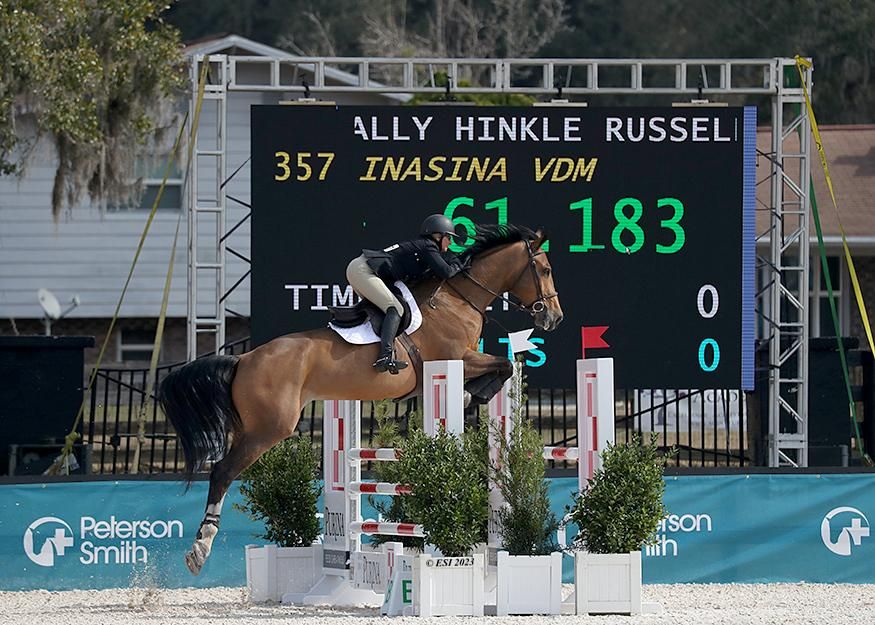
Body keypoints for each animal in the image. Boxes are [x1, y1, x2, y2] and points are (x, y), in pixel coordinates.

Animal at [160, 222, 564, 572]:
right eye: (544, 269)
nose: (554, 318)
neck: (458, 299)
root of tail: (244, 359)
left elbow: (503, 366)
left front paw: (472, 395)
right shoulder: (456, 357)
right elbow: (503, 365)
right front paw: (471, 396)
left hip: (249, 426)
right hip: (269, 428)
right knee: (223, 471)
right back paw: (200, 547)